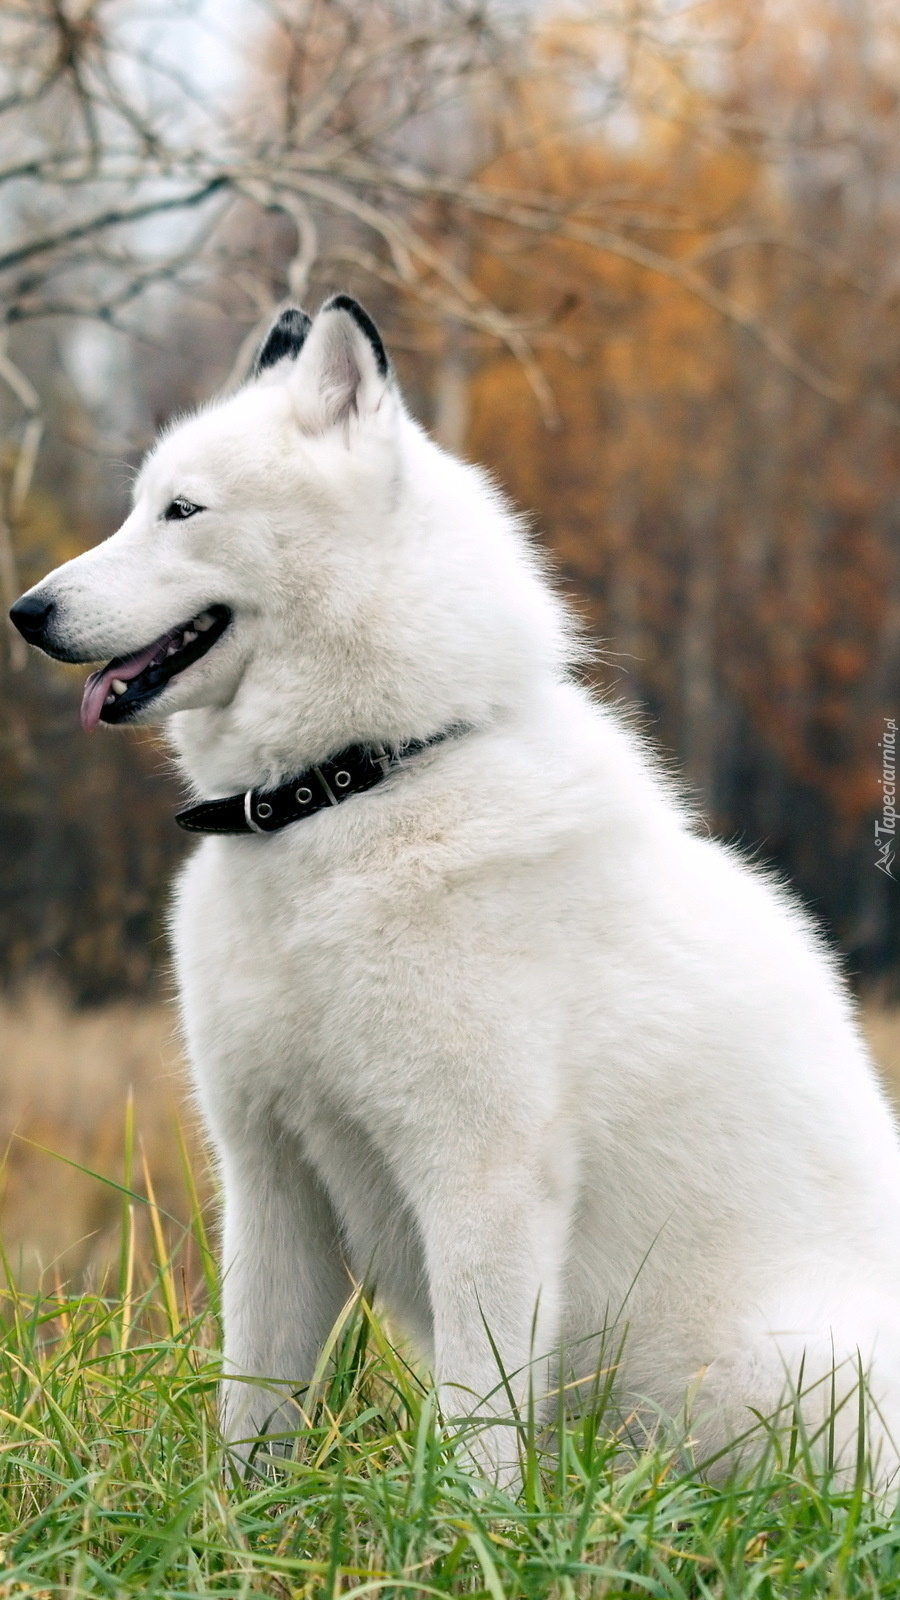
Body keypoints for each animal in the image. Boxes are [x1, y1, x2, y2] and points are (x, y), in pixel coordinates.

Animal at [10, 297, 896, 1484]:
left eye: (181, 511)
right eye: (138, 505)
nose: (27, 611)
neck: (351, 792)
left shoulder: (482, 1178)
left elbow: (479, 1422)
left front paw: (469, 1522)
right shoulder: (271, 1180)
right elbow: (254, 1412)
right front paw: (244, 1520)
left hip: (775, 1372)